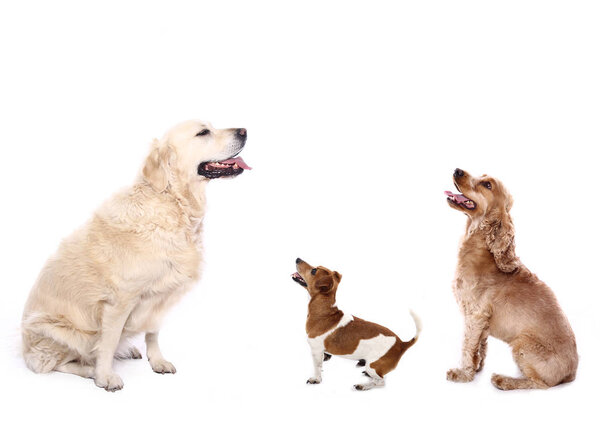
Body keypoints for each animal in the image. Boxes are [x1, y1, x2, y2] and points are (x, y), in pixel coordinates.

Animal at [21, 120, 251, 392]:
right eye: (203, 132)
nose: (244, 131)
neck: (172, 202)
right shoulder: (119, 300)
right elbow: (107, 343)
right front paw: (105, 377)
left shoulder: (161, 293)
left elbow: (153, 331)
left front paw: (158, 360)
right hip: (56, 330)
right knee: (53, 363)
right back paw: (90, 369)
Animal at [292, 258, 422, 392]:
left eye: (314, 270)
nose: (297, 259)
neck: (325, 312)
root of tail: (401, 344)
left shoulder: (316, 350)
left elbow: (317, 367)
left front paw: (316, 379)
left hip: (373, 365)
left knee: (381, 381)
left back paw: (363, 385)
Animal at [446, 168, 576, 392]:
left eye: (487, 185)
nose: (457, 170)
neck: (483, 247)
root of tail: (572, 372)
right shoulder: (482, 321)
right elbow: (479, 346)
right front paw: (476, 367)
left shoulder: (475, 315)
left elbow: (467, 346)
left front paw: (462, 374)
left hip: (521, 343)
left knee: (540, 384)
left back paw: (503, 380)